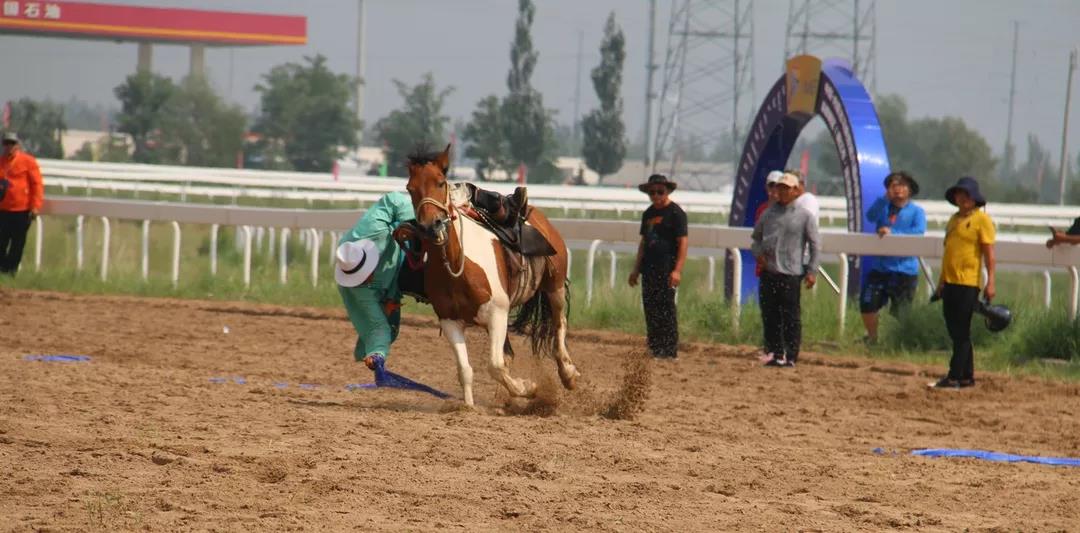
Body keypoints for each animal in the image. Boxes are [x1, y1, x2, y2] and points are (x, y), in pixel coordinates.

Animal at [401, 143, 578, 405]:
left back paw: (568, 373)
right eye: (410, 188)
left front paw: (528, 388)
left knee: (559, 325)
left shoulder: (497, 314)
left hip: (553, 286)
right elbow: (466, 370)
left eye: (441, 182)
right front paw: (468, 407)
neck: (457, 266)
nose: (430, 226)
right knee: (509, 354)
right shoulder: (450, 320)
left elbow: (495, 365)